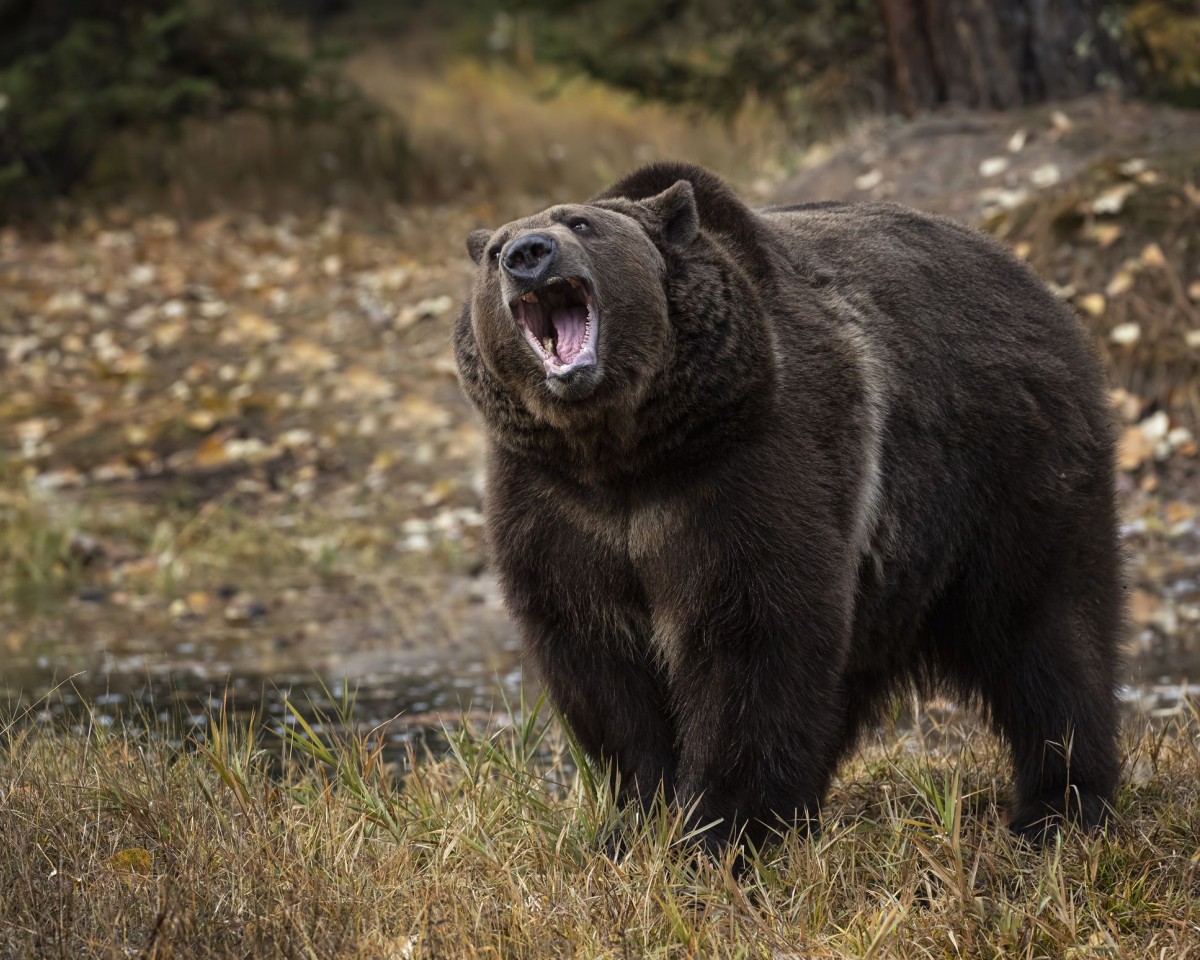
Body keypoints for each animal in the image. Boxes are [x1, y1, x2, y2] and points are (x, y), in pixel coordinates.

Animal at [453, 161, 1122, 856]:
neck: (623, 451)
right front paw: (640, 819)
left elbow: (752, 636)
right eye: (495, 250)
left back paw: (1060, 806)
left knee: (1045, 630)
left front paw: (720, 829)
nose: (528, 254)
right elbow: (599, 661)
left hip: (1009, 467)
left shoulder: (747, 467)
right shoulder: (557, 507)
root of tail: (1028, 276)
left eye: (580, 224)